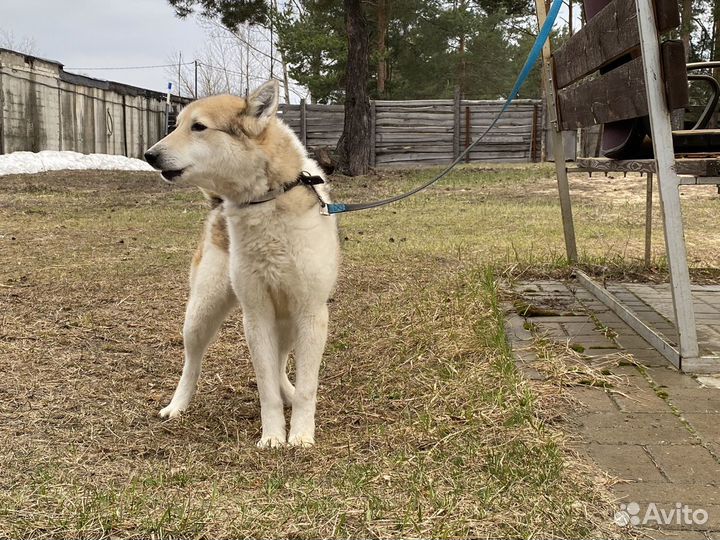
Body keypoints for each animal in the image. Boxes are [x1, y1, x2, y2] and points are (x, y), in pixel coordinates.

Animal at [146, 80, 340, 450]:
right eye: (177, 124)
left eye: (198, 127)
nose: (149, 155)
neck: (267, 200)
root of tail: (217, 206)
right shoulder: (256, 314)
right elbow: (265, 389)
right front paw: (273, 436)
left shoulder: (310, 313)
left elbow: (306, 387)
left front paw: (301, 435)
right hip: (202, 314)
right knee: (192, 364)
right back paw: (177, 405)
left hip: (286, 322)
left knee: (281, 365)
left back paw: (288, 392)